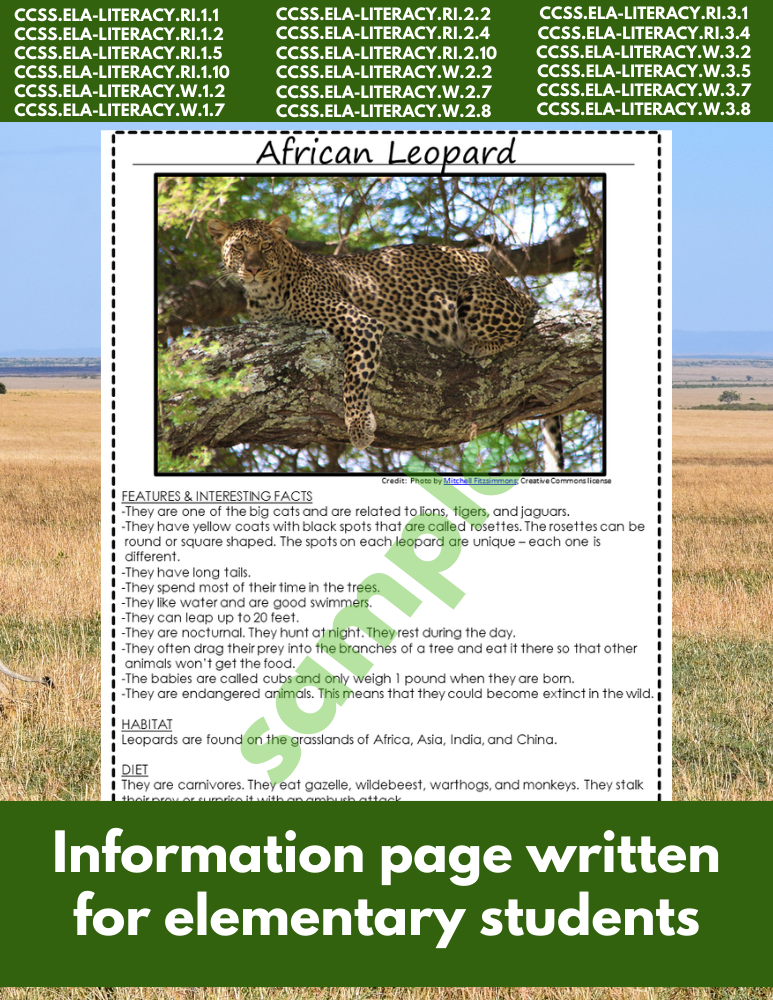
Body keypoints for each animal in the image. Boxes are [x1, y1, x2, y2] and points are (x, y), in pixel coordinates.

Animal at [208, 214, 538, 451]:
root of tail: (501, 276)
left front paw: (358, 426)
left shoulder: (360, 322)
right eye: (238, 248)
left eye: (266, 246)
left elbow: (354, 380)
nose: (252, 269)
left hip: (475, 290)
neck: (265, 294)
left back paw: (477, 343)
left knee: (520, 327)